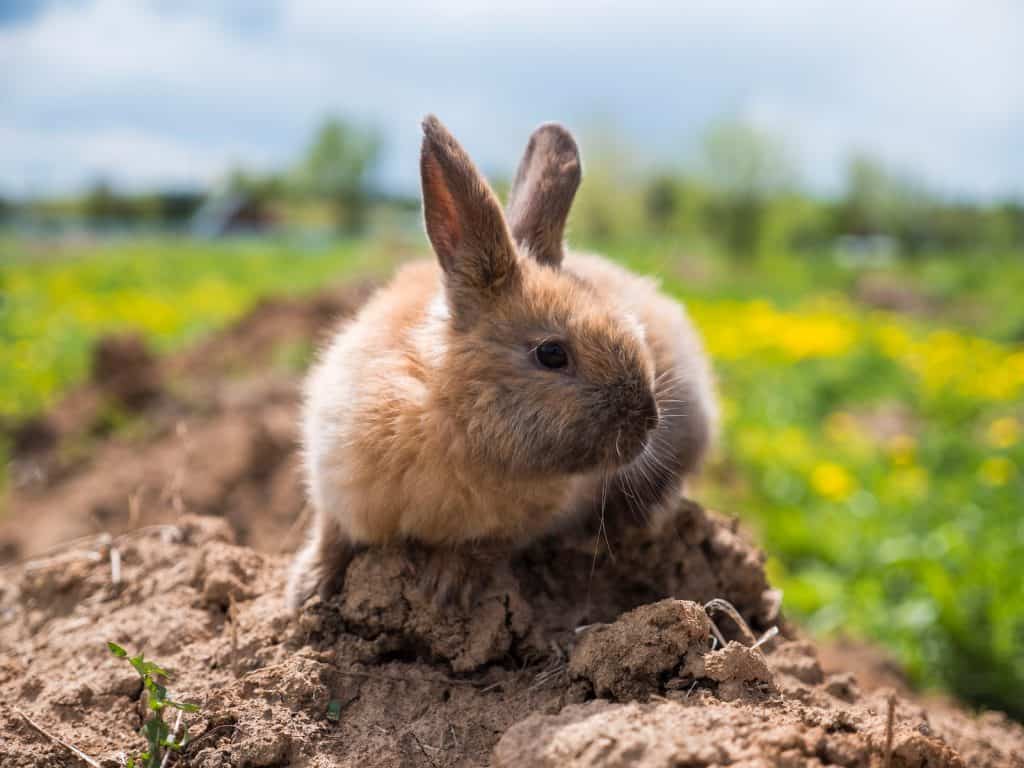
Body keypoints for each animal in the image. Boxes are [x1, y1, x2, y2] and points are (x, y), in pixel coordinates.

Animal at [286, 115, 717, 610]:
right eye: (552, 354)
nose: (647, 421)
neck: (449, 412)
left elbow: (479, 548)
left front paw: (447, 587)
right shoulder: (336, 483)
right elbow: (331, 535)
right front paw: (307, 591)